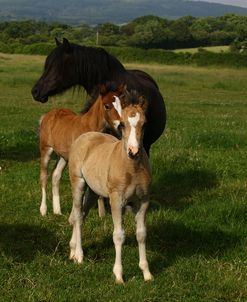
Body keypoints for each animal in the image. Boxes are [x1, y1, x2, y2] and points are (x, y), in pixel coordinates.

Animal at [38, 84, 123, 217]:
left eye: (122, 105)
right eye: (107, 106)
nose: (120, 126)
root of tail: (47, 115)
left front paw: (101, 214)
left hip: (63, 156)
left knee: (56, 175)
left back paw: (57, 211)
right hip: (45, 149)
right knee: (44, 176)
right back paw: (43, 210)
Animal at [67, 90, 152, 284]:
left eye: (144, 124)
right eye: (122, 124)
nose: (133, 151)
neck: (132, 168)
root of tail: (86, 135)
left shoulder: (143, 201)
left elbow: (141, 234)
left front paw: (146, 273)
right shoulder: (116, 200)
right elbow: (118, 235)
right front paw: (119, 275)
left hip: (92, 191)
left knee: (81, 215)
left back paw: (72, 250)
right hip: (78, 183)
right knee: (77, 214)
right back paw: (79, 255)